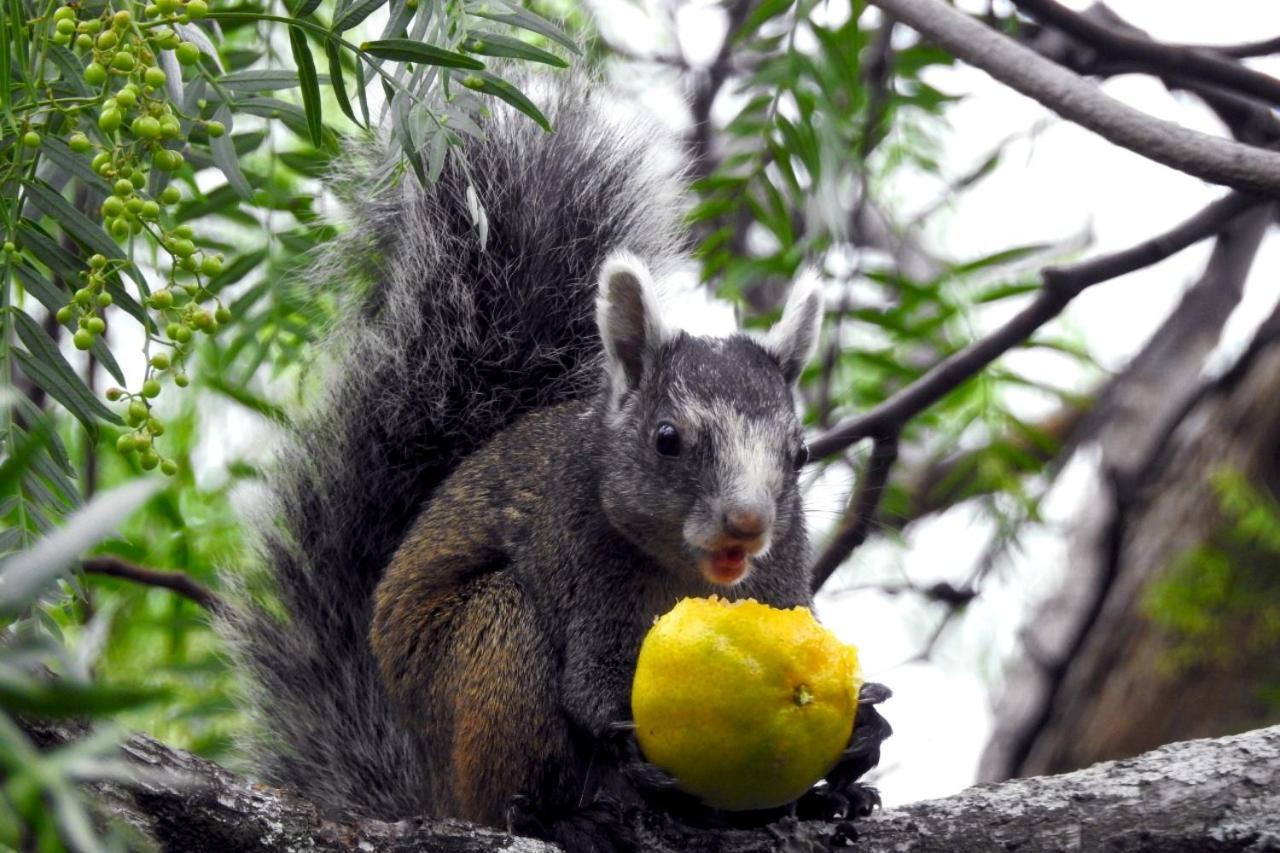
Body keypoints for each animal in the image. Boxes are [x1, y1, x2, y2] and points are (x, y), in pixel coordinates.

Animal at [222, 71, 890, 845]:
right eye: (666, 438)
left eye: (800, 450)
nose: (748, 524)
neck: (683, 574)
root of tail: (435, 791)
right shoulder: (581, 549)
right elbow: (592, 685)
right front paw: (633, 753)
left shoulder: (781, 577)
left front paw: (860, 735)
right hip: (489, 653)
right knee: (514, 753)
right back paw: (559, 815)